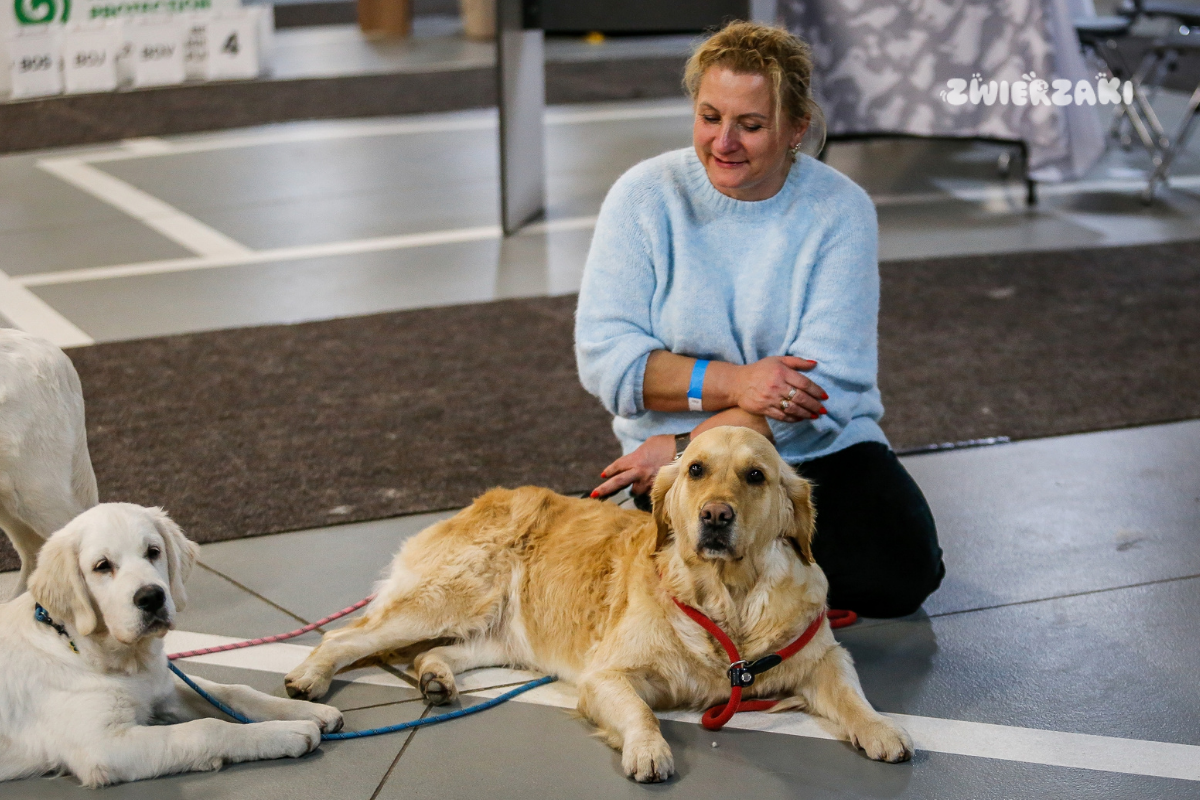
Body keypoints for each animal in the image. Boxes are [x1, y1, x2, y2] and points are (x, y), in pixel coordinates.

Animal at [0, 503, 343, 787]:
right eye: (102, 566)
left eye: (153, 551)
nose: (151, 597)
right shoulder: (102, 746)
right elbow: (208, 728)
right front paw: (289, 732)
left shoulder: (163, 689)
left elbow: (235, 692)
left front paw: (306, 711)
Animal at [285, 426, 911, 782]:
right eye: (695, 469)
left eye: (756, 476)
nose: (715, 515)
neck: (726, 600)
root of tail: (480, 501)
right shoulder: (606, 675)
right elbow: (639, 712)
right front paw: (649, 749)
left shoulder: (823, 657)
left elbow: (852, 697)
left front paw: (881, 729)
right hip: (452, 596)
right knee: (345, 636)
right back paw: (309, 677)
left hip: (499, 630)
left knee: (436, 652)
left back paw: (435, 678)